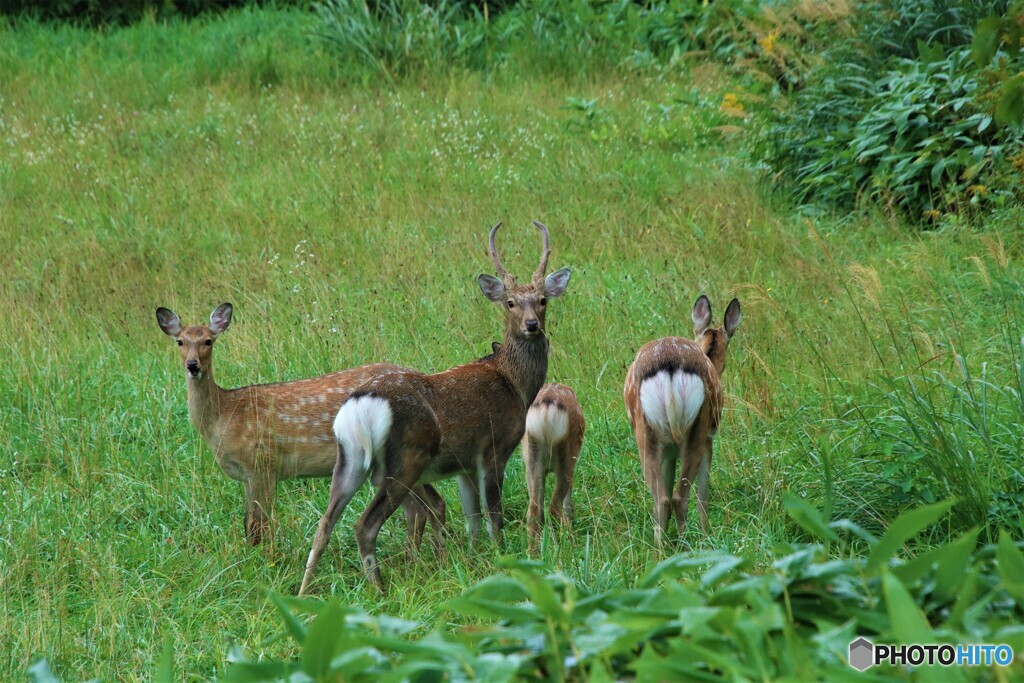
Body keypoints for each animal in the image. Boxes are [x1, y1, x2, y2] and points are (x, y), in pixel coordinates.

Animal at [152, 305, 448, 557]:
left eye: (208, 341)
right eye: (180, 341)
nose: (193, 366)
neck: (225, 416)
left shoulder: (263, 463)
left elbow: (261, 523)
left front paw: (267, 561)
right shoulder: (247, 475)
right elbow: (248, 524)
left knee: (421, 509)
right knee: (421, 508)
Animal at [299, 220, 577, 593]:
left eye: (543, 300)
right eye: (511, 303)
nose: (531, 325)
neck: (514, 384)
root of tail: (361, 406)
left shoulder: (463, 465)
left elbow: (473, 519)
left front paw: (476, 562)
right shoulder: (494, 448)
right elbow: (494, 516)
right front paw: (504, 559)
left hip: (349, 459)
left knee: (324, 524)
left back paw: (305, 590)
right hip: (404, 461)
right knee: (364, 525)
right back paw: (379, 590)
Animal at [520, 382, 585, 552]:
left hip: (532, 461)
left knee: (533, 510)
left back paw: (533, 552)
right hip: (567, 459)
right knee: (554, 508)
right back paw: (565, 546)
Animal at [618, 296, 741, 548]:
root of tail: (671, 365)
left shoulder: (669, 452)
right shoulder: (709, 439)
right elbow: (703, 494)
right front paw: (705, 532)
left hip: (647, 433)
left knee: (662, 498)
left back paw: (661, 548)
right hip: (697, 428)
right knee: (679, 497)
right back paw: (689, 547)